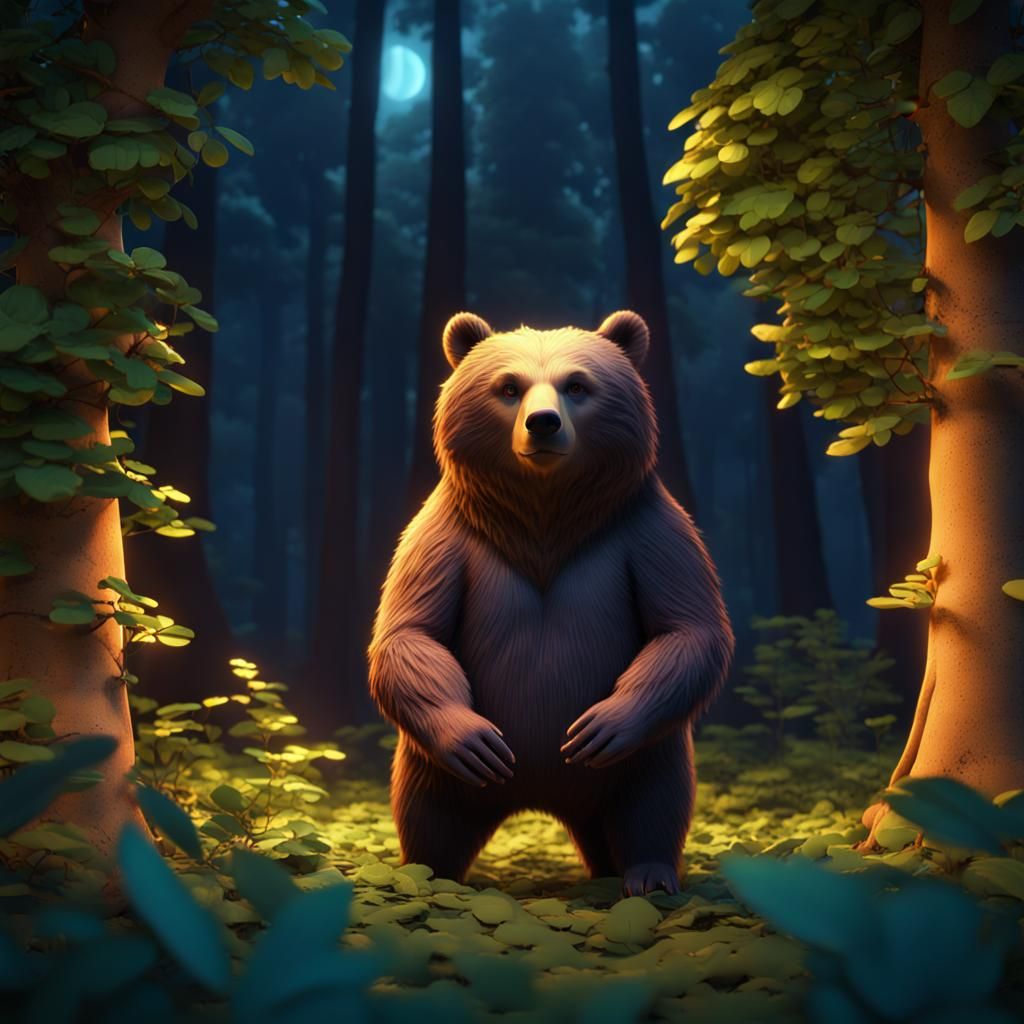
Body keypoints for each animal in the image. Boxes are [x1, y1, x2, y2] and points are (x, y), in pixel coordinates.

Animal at [367, 310, 734, 895]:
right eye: (509, 387)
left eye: (577, 385)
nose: (543, 422)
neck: (545, 522)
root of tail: (543, 799)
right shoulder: (444, 533)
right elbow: (410, 632)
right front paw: (474, 737)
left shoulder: (648, 527)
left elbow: (689, 628)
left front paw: (599, 725)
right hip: (435, 770)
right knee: (429, 813)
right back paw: (428, 874)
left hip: (644, 758)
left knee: (655, 800)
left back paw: (648, 873)